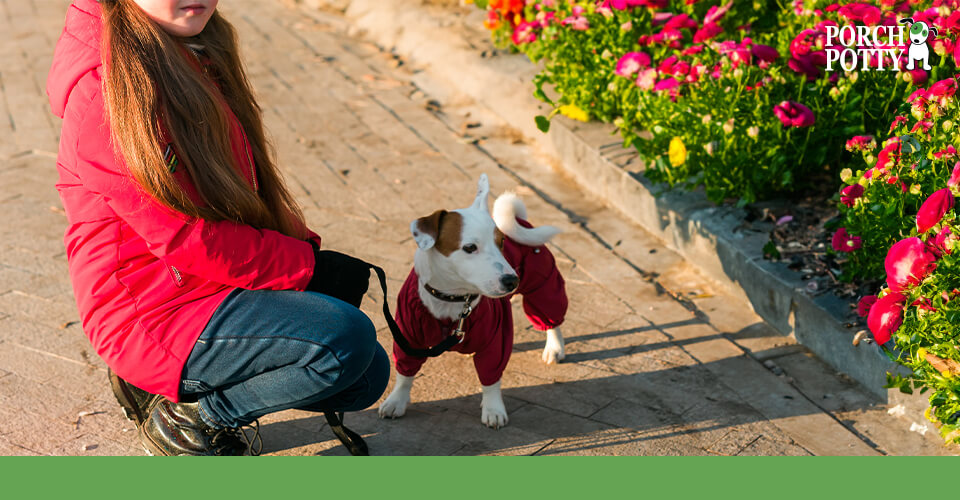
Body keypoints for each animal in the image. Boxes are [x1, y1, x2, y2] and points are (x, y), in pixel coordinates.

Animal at [376, 174, 568, 428]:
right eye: (469, 247)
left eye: (502, 242)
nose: (512, 280)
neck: (453, 298)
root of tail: (521, 222)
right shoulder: (408, 336)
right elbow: (405, 374)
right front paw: (397, 400)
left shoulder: (497, 339)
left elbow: (491, 380)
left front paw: (493, 408)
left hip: (542, 284)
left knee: (550, 318)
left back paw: (554, 347)